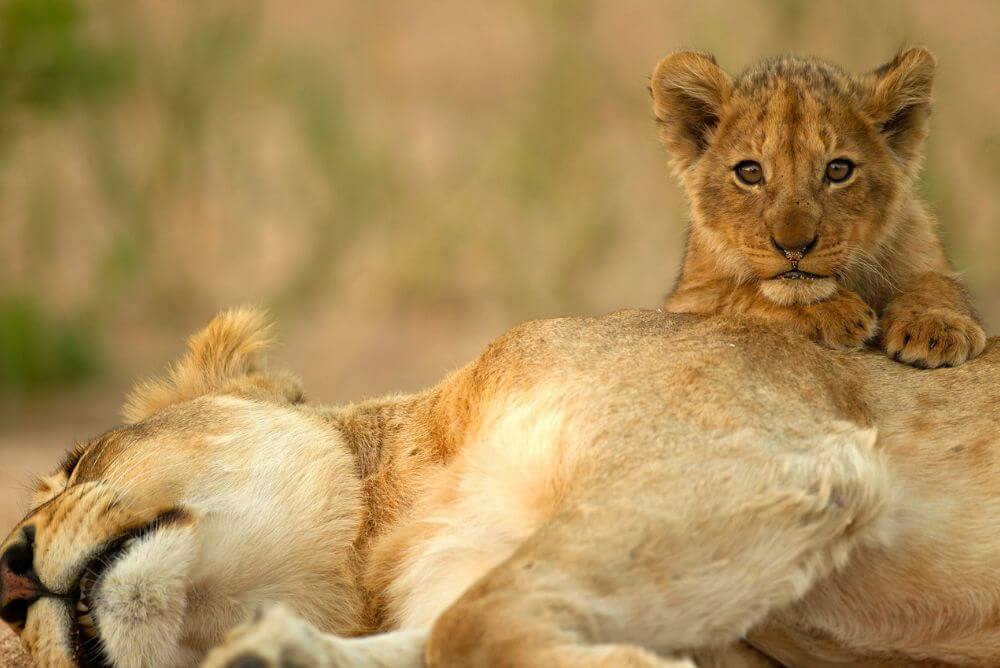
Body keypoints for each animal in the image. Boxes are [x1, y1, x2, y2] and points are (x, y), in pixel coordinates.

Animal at [1, 307, 998, 667]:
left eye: (81, 459)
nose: (10, 571)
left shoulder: (740, 459)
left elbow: (467, 630)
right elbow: (444, 634)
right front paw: (271, 655)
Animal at [651, 48, 986, 369]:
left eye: (838, 170)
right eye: (750, 172)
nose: (794, 248)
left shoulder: (921, 243)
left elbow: (937, 281)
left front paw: (937, 325)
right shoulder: (685, 299)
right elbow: (733, 295)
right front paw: (834, 311)